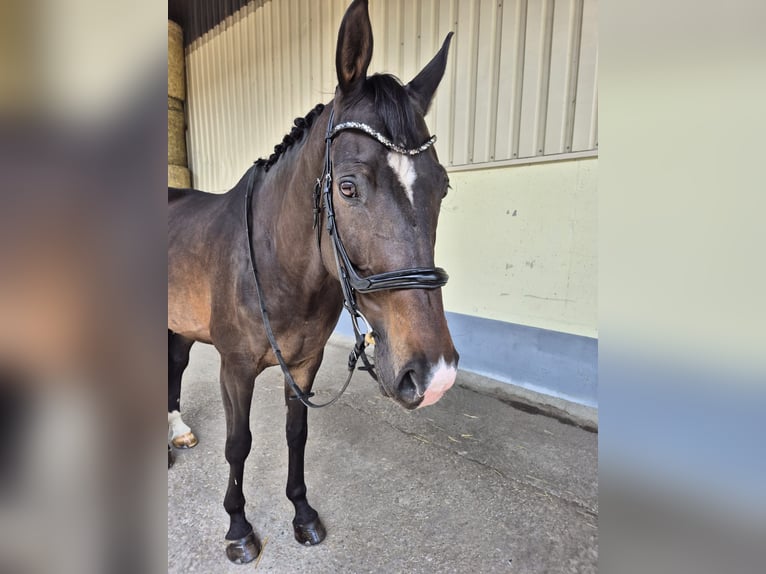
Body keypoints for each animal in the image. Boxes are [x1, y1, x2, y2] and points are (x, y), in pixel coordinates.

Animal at [168, 0, 458, 563]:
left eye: (443, 187)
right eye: (347, 188)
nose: (434, 376)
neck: (274, 265)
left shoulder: (304, 363)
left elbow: (295, 434)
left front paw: (302, 513)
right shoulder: (234, 368)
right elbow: (239, 444)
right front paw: (239, 528)